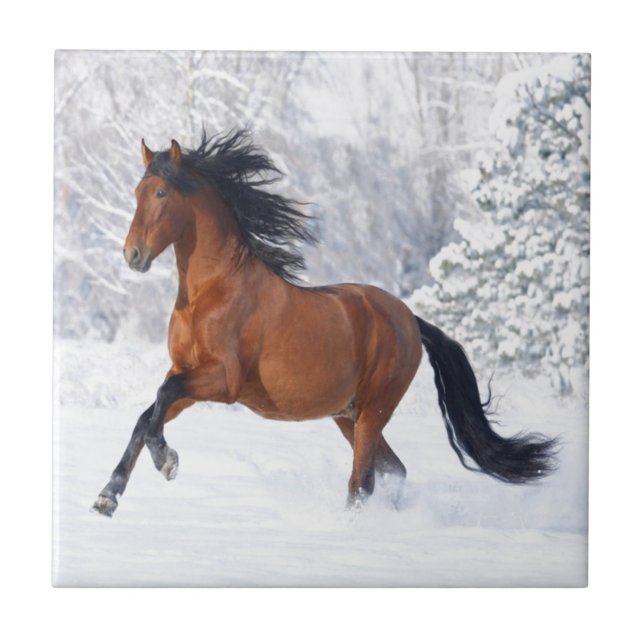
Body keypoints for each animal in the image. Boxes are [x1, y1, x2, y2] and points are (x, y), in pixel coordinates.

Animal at [92, 130, 558, 517]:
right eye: (136, 192)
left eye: (161, 191)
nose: (132, 255)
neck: (213, 292)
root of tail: (408, 317)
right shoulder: (186, 373)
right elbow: (147, 415)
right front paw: (107, 496)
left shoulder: (222, 381)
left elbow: (161, 398)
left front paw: (167, 462)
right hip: (348, 416)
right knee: (393, 471)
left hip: (374, 410)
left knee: (362, 482)